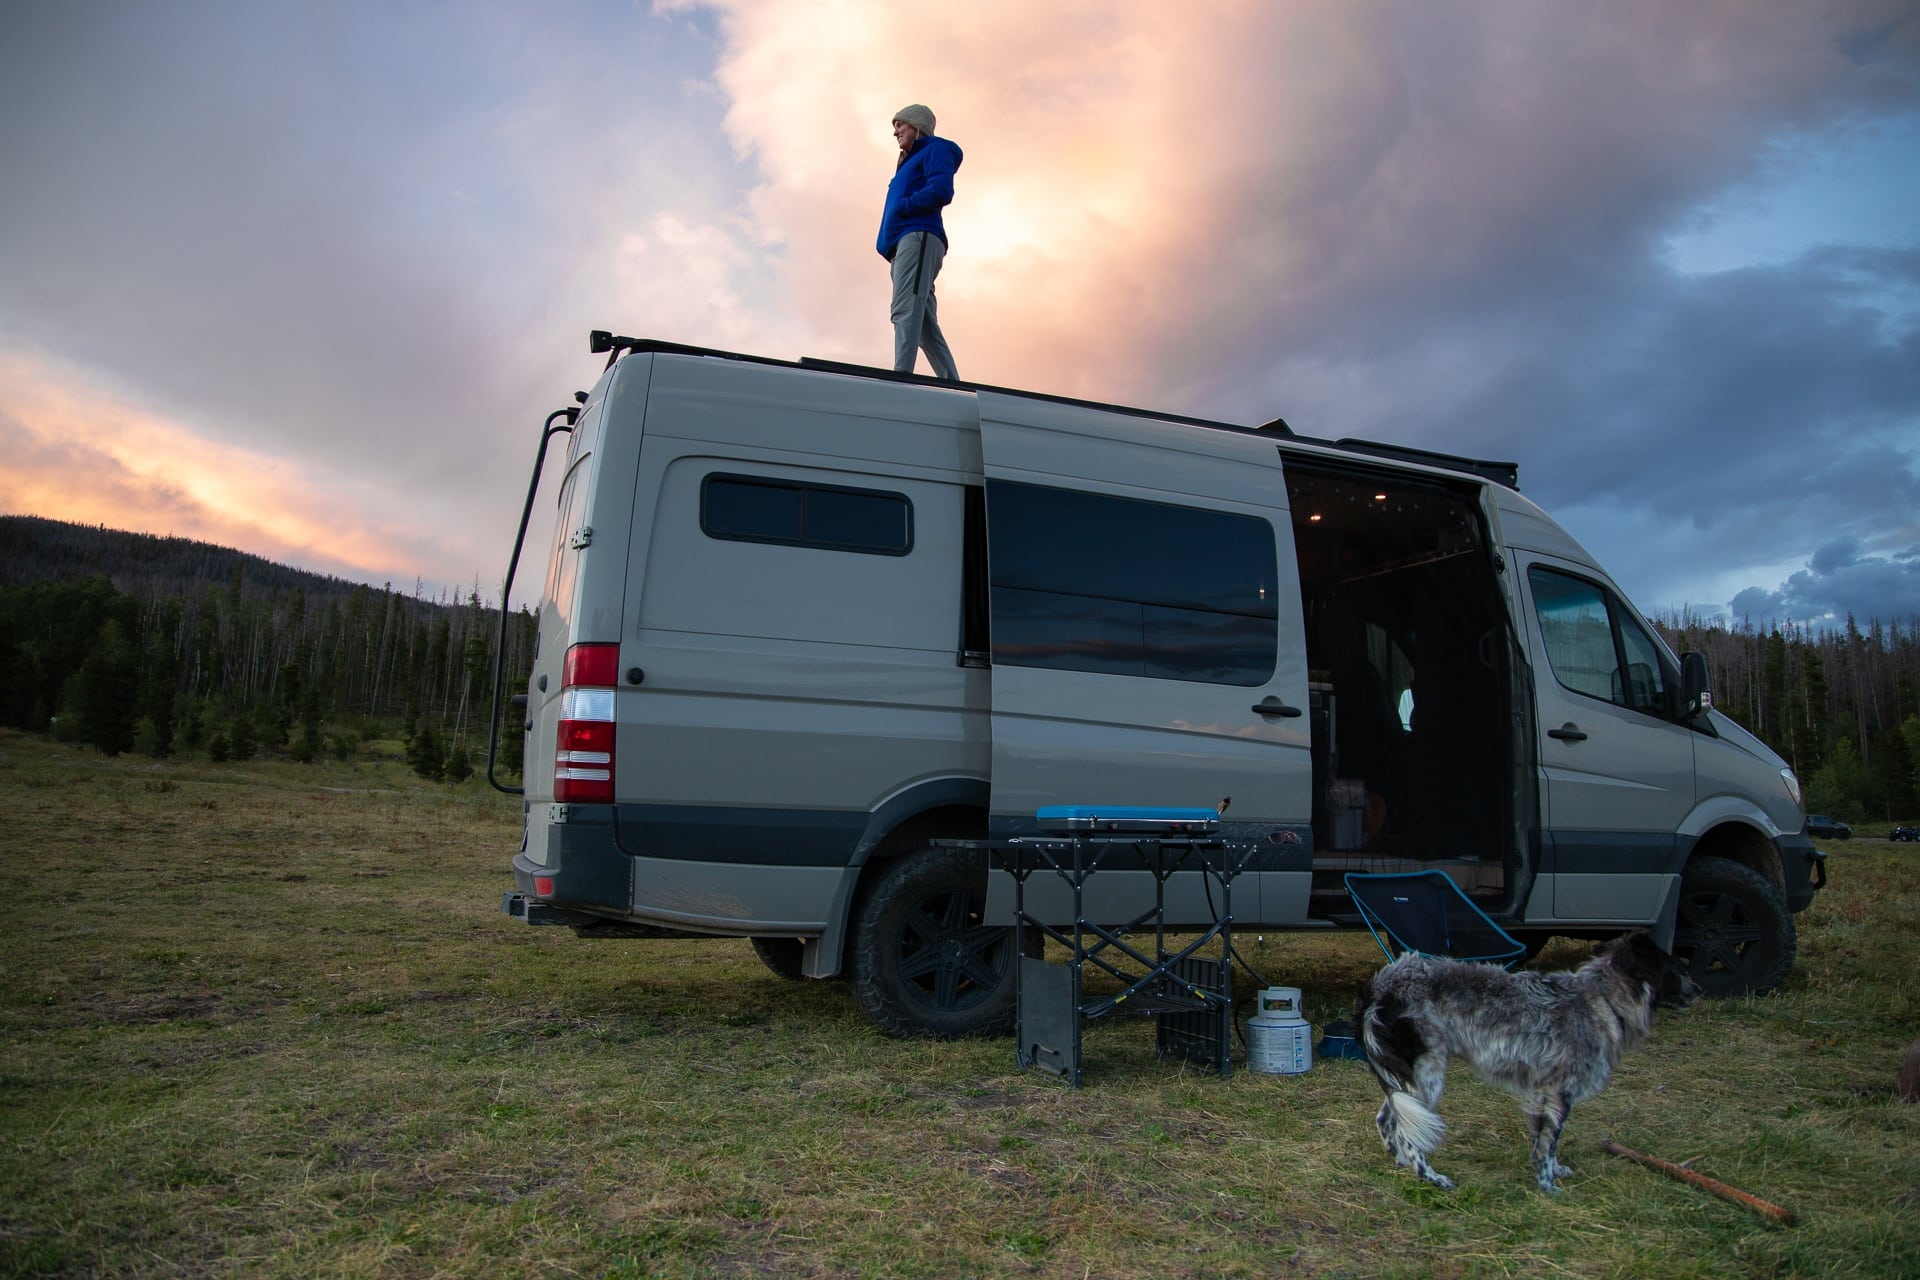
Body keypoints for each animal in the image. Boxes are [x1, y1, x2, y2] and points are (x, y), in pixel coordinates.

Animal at [1359, 932, 1704, 1189]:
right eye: (1677, 969)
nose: (1700, 990)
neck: (1601, 1000)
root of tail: (1382, 986)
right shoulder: (1560, 1092)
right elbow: (1549, 1143)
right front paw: (1547, 1185)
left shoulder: (1542, 1093)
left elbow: (1542, 1143)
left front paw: (1552, 1171)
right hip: (1427, 1075)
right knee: (1407, 1130)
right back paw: (1428, 1175)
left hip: (1409, 1080)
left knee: (1388, 1118)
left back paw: (1400, 1161)